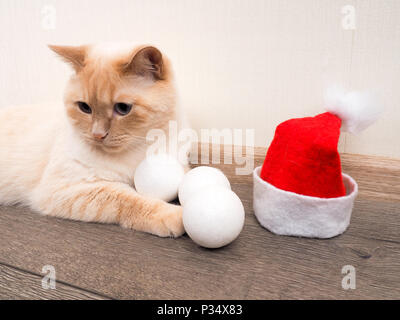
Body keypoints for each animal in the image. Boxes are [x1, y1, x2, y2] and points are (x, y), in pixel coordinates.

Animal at [0, 42, 188, 238]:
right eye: (84, 107)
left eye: (123, 108)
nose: (98, 135)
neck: (141, 147)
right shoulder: (62, 189)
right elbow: (124, 197)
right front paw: (174, 216)